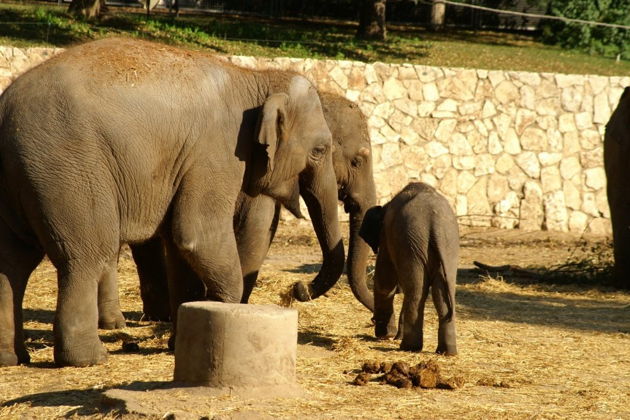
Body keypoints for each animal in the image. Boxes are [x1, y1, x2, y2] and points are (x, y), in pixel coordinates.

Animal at [0, 39, 346, 368]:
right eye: (319, 150)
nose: (298, 289)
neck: (255, 78)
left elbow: (181, 248)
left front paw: (178, 341)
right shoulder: (215, 153)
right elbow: (197, 235)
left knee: (14, 263)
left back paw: (13, 358)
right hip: (68, 171)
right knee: (85, 255)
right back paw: (89, 359)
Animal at [360, 182, 460, 356]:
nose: (372, 320)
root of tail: (436, 223)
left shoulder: (386, 235)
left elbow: (384, 281)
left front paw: (385, 335)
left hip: (412, 244)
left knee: (416, 291)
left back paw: (409, 347)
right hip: (446, 246)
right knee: (441, 294)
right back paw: (446, 352)